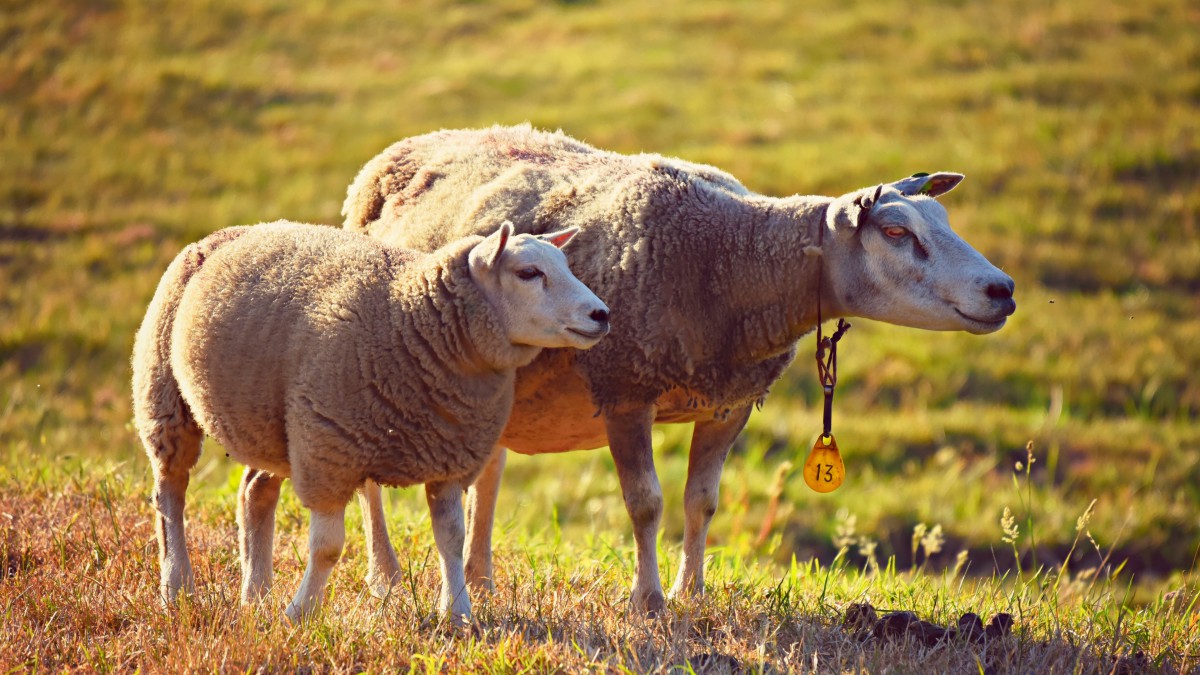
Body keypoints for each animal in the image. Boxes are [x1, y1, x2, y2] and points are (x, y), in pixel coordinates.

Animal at [131, 216, 609, 619]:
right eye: (529, 273)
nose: (602, 314)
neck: (412, 319)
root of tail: (228, 232)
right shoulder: (330, 451)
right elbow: (328, 548)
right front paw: (300, 615)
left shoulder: (450, 455)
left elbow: (451, 540)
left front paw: (458, 614)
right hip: (165, 396)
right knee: (170, 492)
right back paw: (177, 588)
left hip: (273, 425)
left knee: (254, 493)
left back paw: (256, 596)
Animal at [343, 124, 1017, 614]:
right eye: (897, 231)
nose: (1002, 290)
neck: (730, 261)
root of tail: (406, 145)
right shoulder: (624, 387)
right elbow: (646, 504)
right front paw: (649, 600)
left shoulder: (728, 402)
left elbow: (702, 502)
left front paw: (692, 592)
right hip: (377, 359)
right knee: (372, 479)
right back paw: (385, 578)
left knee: (488, 473)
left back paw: (479, 580)